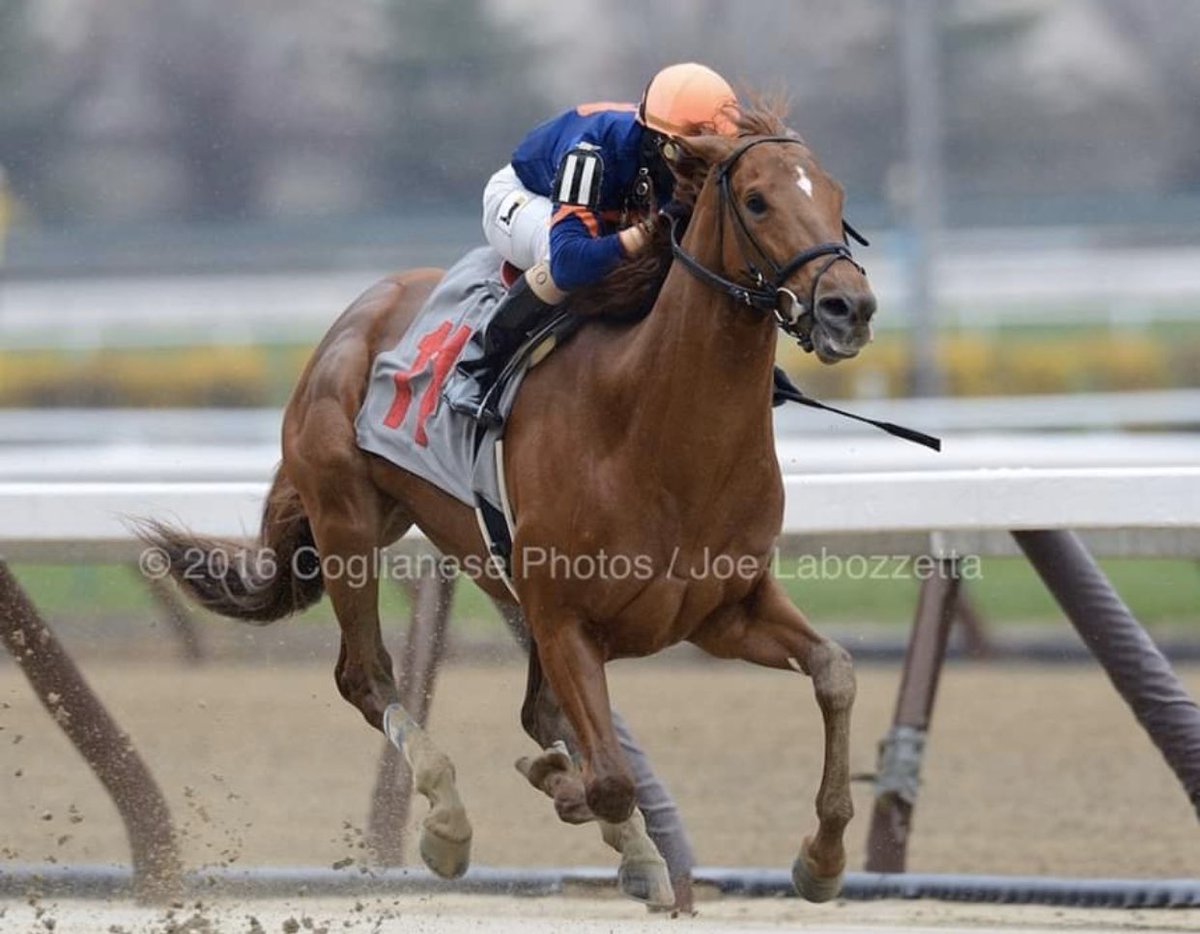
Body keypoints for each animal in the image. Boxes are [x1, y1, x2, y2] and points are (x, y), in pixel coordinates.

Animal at [142, 107, 873, 902]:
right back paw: (449, 822)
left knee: (531, 708)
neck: (653, 428)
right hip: (346, 523)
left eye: (838, 196)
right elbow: (608, 777)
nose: (849, 307)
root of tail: (356, 314)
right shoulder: (565, 619)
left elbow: (835, 671)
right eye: (758, 201)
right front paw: (574, 796)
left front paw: (822, 858)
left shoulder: (720, 610)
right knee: (366, 676)